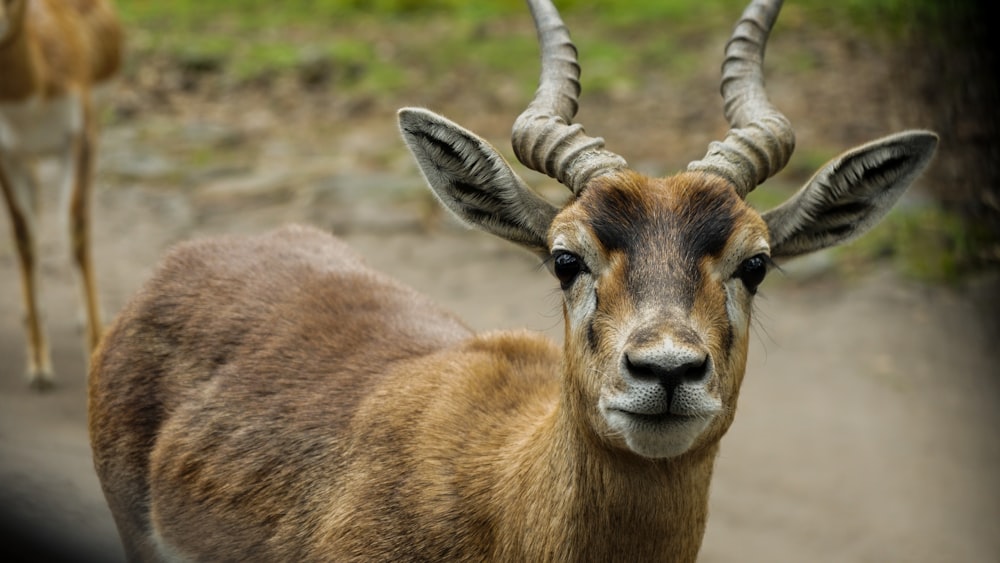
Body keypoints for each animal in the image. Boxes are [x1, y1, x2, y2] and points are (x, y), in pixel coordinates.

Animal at [0, 0, 123, 390]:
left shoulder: (80, 139)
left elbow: (77, 228)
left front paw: (95, 349)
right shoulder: (6, 154)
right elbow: (24, 235)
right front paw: (39, 365)